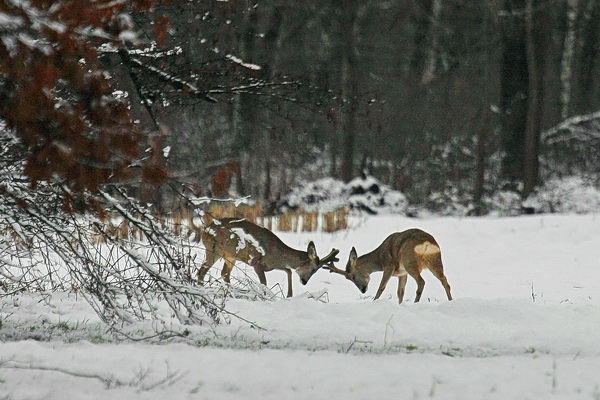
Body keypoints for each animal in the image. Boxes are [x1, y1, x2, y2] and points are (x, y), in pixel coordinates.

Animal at [199, 219, 340, 296]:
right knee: (202, 271)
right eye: (313, 269)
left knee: (224, 273)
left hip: (230, 256)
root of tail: (205, 229)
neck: (276, 253)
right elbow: (264, 282)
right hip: (213, 249)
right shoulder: (256, 261)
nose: (304, 282)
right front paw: (265, 297)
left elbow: (289, 271)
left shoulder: (272, 265)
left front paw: (289, 295)